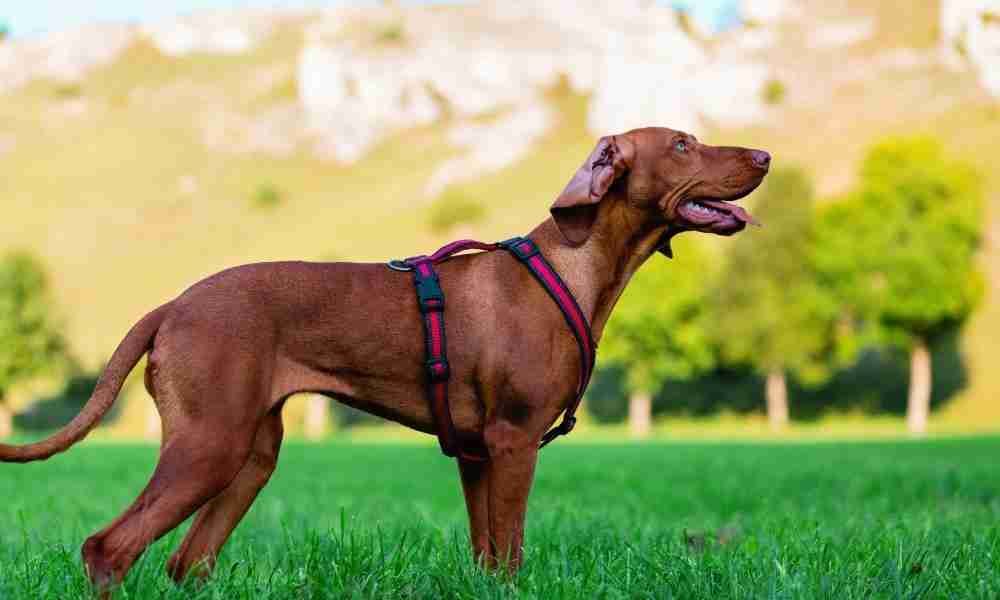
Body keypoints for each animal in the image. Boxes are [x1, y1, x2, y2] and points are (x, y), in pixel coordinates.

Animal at [0, 126, 768, 592]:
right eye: (682, 143)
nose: (764, 156)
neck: (569, 266)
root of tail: (172, 305)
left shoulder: (477, 454)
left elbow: (487, 555)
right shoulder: (514, 441)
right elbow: (512, 555)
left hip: (249, 456)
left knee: (188, 562)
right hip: (208, 448)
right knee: (110, 547)